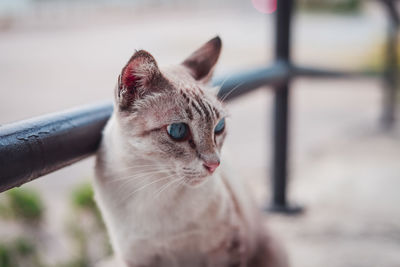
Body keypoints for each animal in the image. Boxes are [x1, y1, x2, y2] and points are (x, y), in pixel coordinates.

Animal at [94, 36, 288, 267]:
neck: (156, 189)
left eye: (219, 127)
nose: (214, 164)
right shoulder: (141, 259)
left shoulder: (227, 248)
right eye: (177, 130)